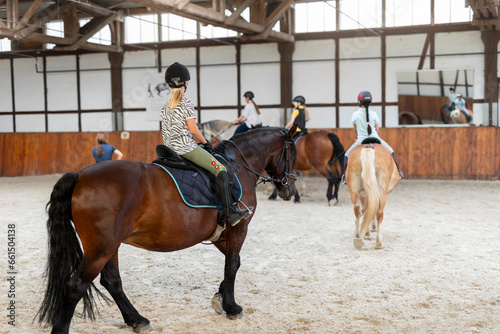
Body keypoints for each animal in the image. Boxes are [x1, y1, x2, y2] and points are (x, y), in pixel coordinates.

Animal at [39, 126, 298, 332]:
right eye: (293, 154)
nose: (289, 189)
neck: (238, 166)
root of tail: (80, 176)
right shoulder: (238, 229)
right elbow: (232, 266)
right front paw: (231, 307)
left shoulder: (220, 234)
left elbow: (235, 264)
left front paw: (219, 298)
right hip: (100, 249)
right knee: (76, 286)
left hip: (108, 247)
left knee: (112, 281)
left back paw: (137, 320)